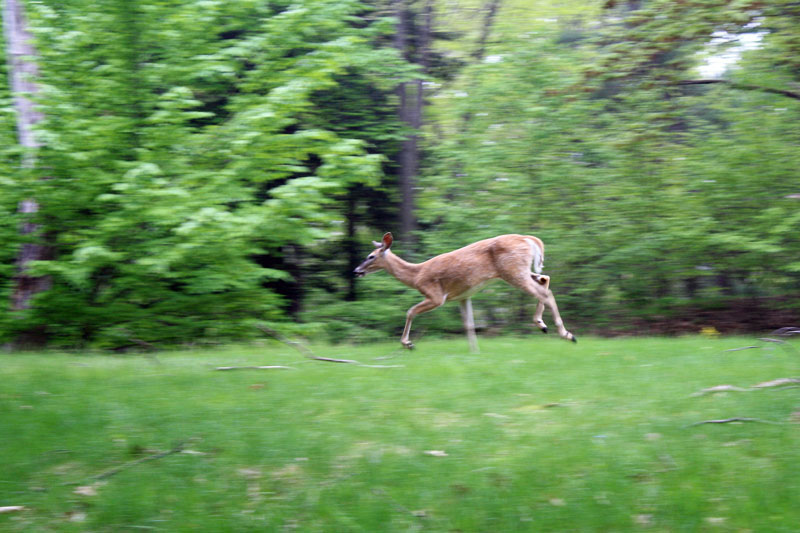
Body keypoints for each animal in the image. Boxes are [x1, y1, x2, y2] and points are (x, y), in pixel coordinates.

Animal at [352, 231, 576, 352]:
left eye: (371, 256)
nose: (356, 271)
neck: (416, 275)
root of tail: (529, 239)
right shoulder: (463, 296)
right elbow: (469, 325)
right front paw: (474, 352)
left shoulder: (436, 296)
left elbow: (410, 311)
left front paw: (407, 344)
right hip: (520, 270)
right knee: (545, 280)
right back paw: (546, 326)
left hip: (512, 271)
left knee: (543, 292)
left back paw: (564, 333)